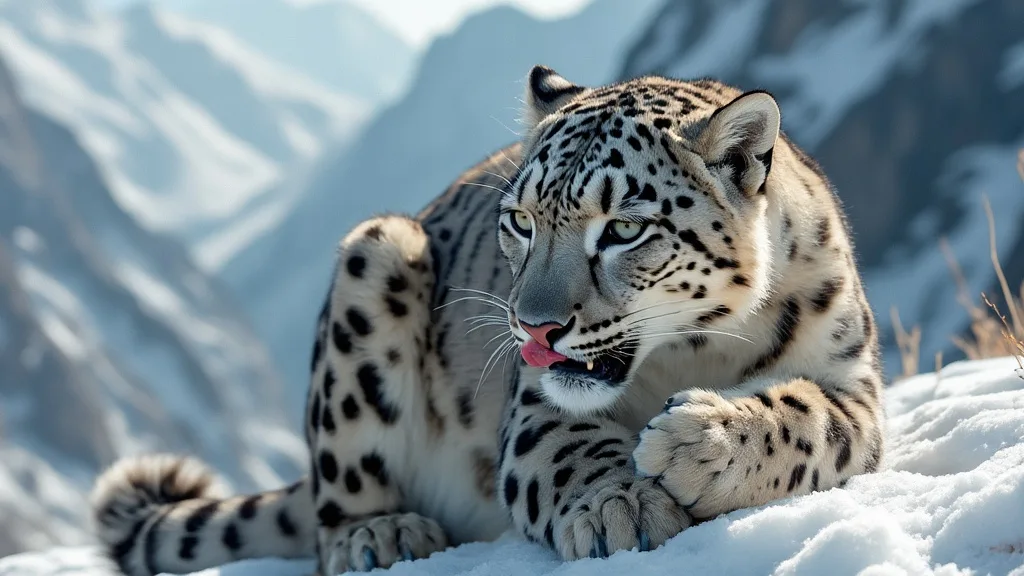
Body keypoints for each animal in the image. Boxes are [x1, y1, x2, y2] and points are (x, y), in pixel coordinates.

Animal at [90, 65, 885, 575]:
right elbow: (571, 451)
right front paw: (621, 505)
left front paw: (698, 440)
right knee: (331, 512)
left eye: (625, 228)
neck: (695, 352)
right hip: (375, 261)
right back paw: (380, 533)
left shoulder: (854, 381)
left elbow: (811, 419)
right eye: (521, 221)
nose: (533, 328)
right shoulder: (532, 411)